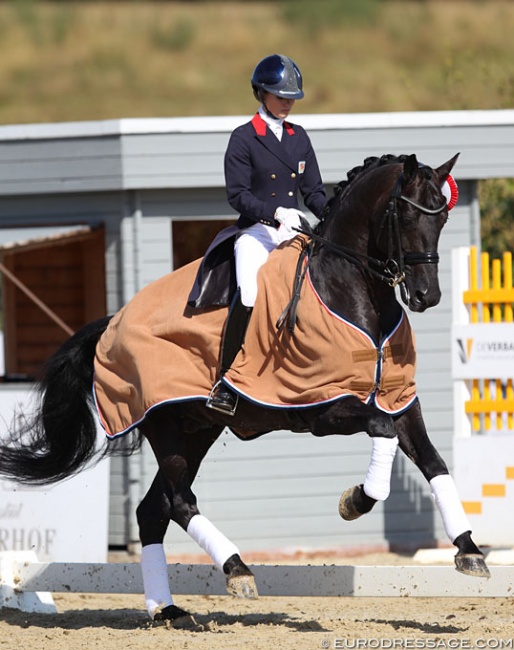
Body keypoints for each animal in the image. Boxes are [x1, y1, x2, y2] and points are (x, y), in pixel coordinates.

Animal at [0, 152, 486, 624]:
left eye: (442, 217)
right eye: (404, 215)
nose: (426, 296)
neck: (354, 296)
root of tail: (113, 321)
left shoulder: (398, 401)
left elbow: (433, 461)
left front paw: (469, 549)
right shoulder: (325, 408)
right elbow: (381, 436)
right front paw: (356, 500)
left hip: (197, 430)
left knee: (153, 510)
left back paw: (166, 610)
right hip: (166, 427)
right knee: (179, 501)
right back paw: (237, 570)